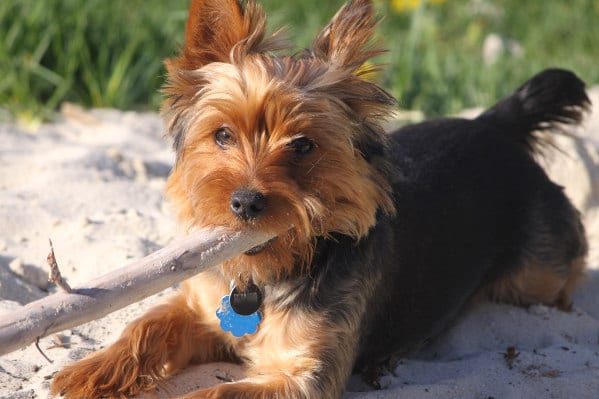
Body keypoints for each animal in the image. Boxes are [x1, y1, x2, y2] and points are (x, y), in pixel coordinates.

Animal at [51, 0, 592, 399]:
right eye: (222, 135)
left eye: (303, 146)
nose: (245, 203)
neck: (270, 274)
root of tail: (494, 124)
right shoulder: (201, 306)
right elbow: (146, 325)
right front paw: (89, 371)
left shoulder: (304, 377)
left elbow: (217, 392)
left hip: (536, 272)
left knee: (568, 270)